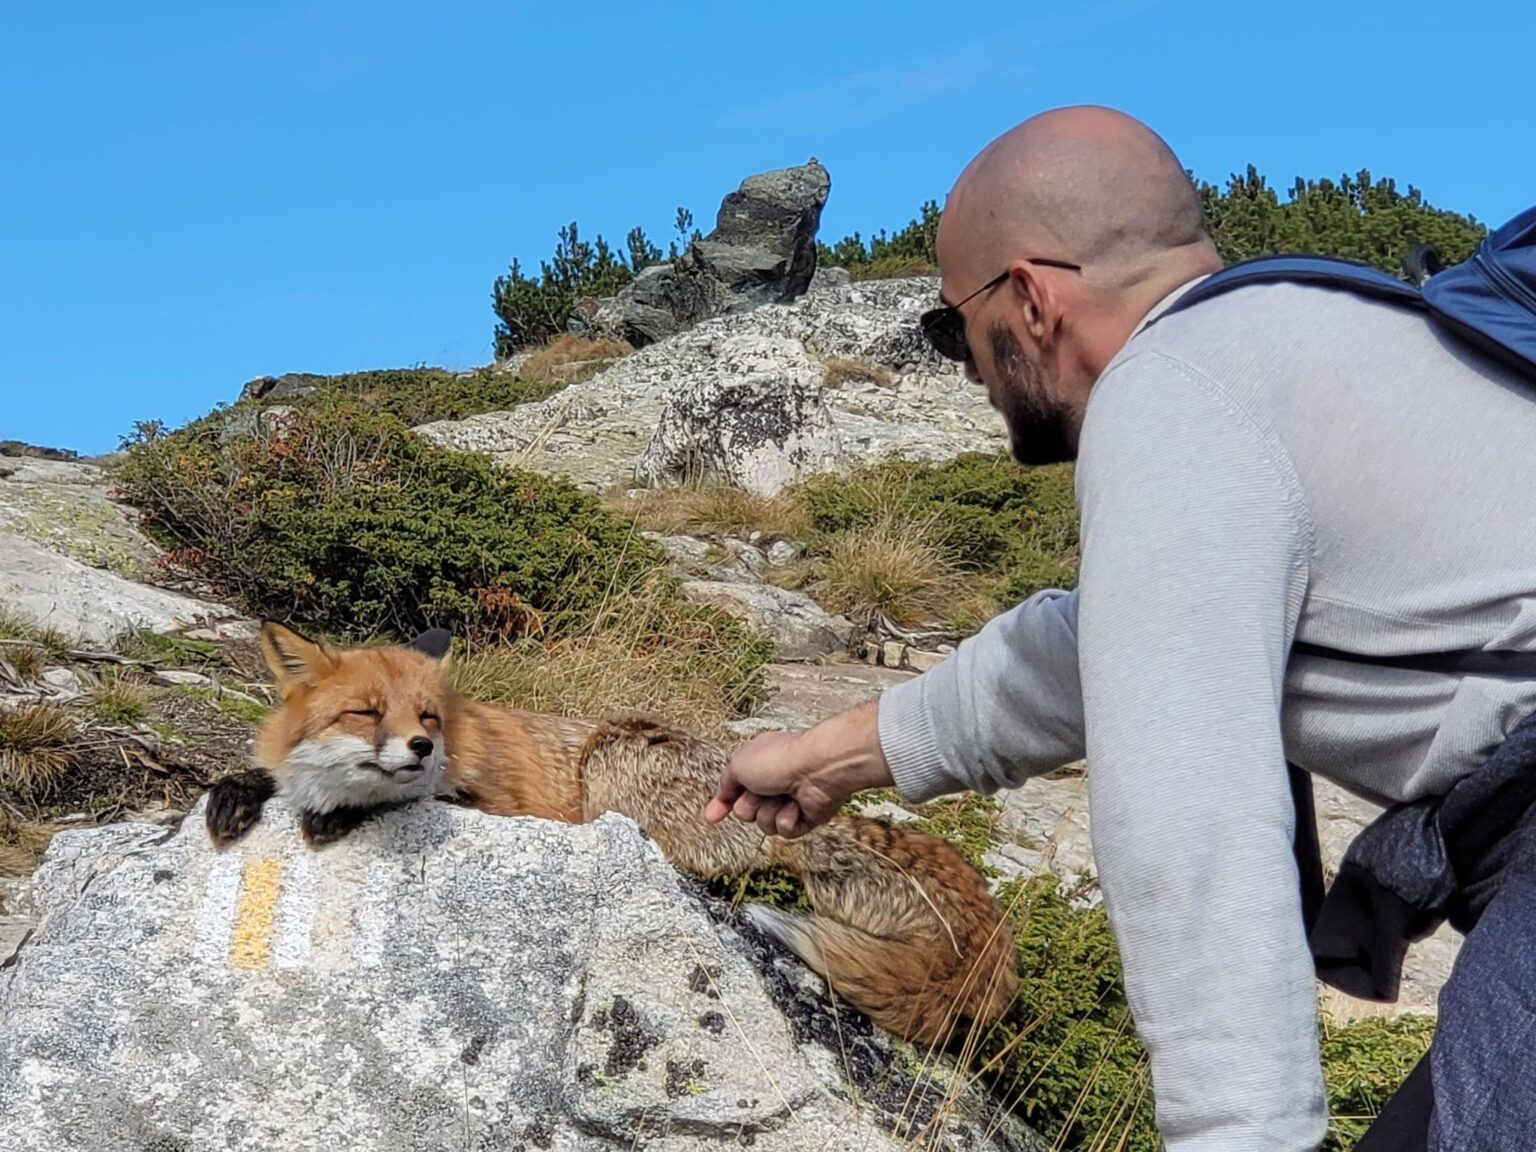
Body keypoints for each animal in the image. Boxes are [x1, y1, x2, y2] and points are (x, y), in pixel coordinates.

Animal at [204, 620, 1021, 1050]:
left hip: (613, 756)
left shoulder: (495, 804)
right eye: (367, 713)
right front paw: (239, 793)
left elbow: (401, 803)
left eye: (428, 716)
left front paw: (338, 813)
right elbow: (266, 779)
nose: (422, 748)